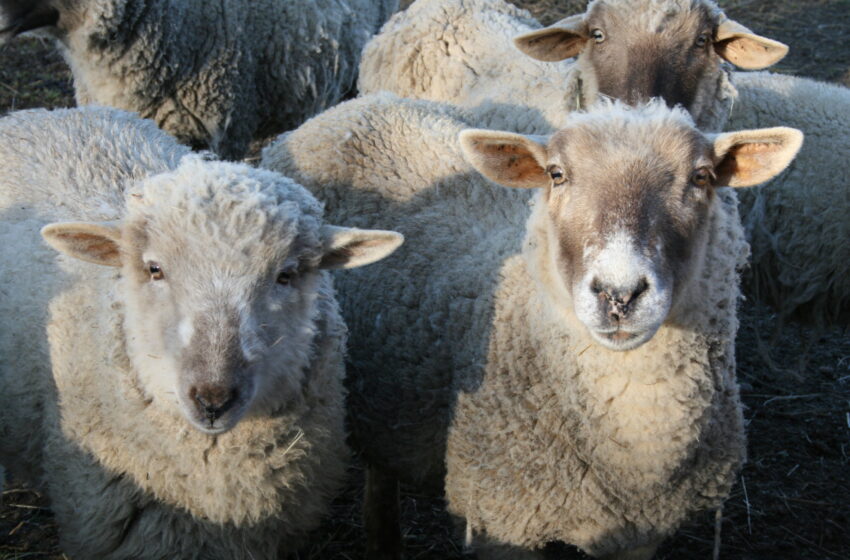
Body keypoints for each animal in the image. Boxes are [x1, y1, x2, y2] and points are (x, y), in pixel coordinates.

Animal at [258, 94, 800, 556]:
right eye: (557, 174)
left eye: (702, 176)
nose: (619, 294)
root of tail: (359, 105)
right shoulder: (501, 522)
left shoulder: (639, 535)